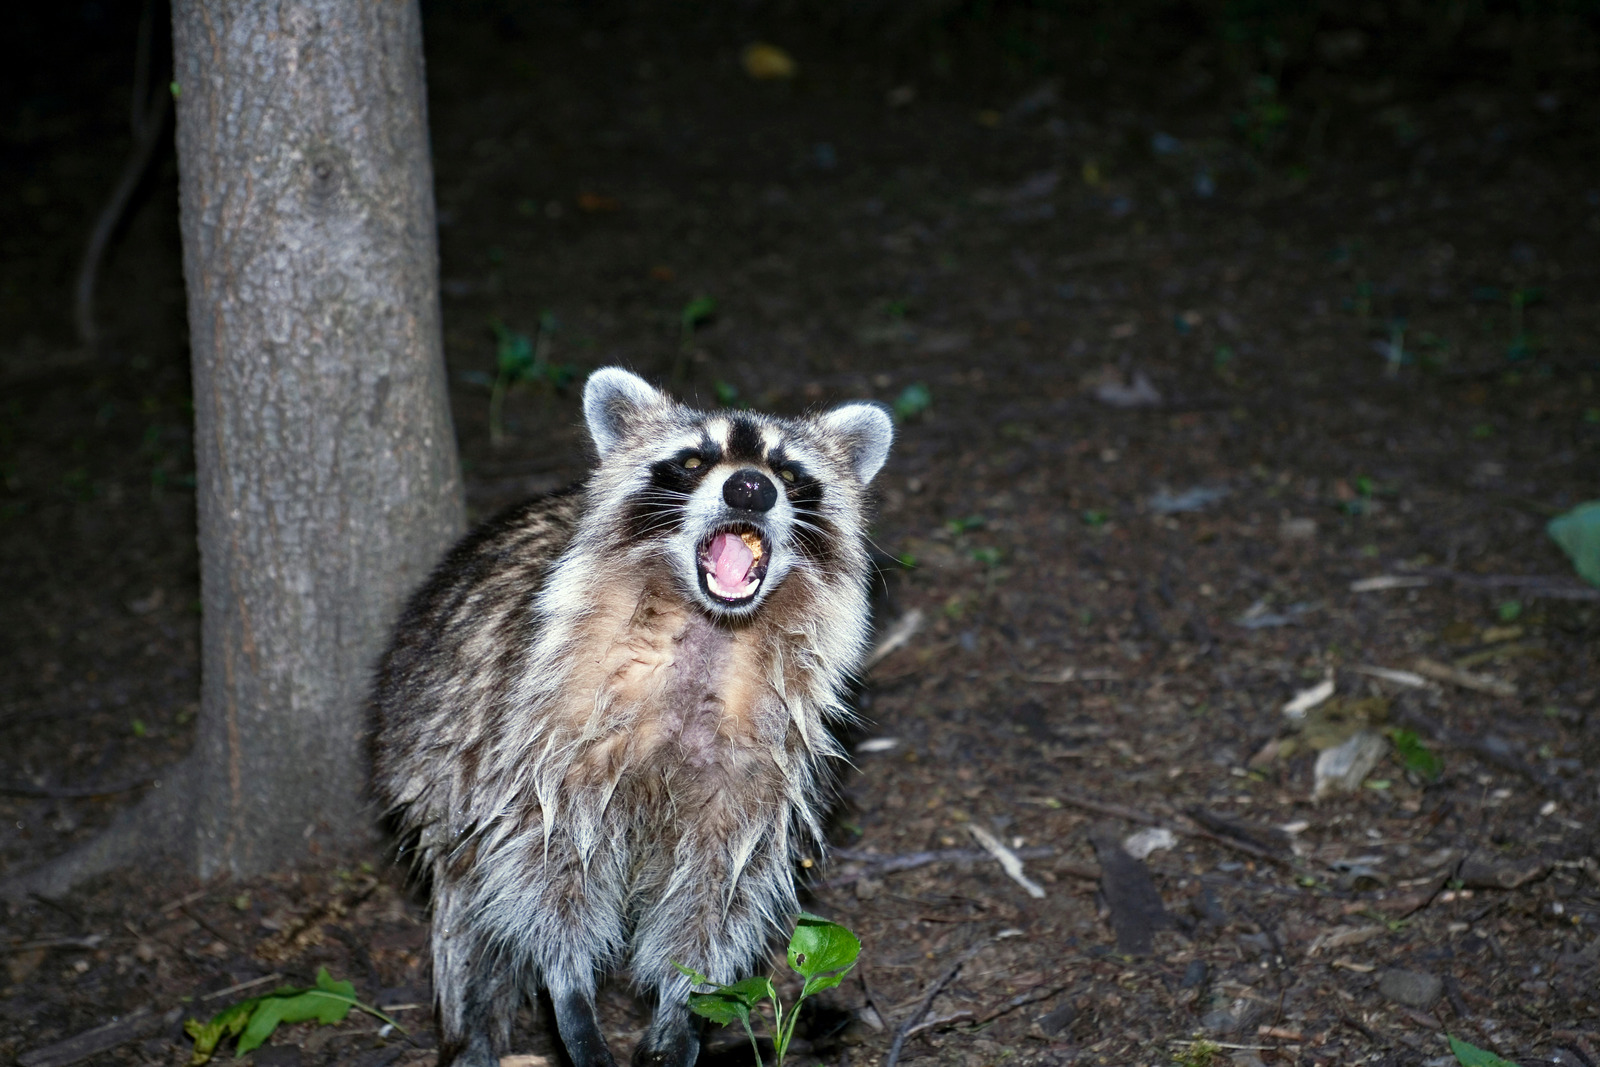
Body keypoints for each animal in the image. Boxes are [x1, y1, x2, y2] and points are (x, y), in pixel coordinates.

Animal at [371, 368, 893, 1067]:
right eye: (693, 460)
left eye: (788, 469)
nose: (750, 486)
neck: (710, 626)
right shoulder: (546, 728)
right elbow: (545, 866)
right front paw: (569, 989)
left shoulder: (765, 756)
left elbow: (719, 894)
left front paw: (684, 1007)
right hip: (433, 751)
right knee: (469, 909)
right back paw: (472, 1027)